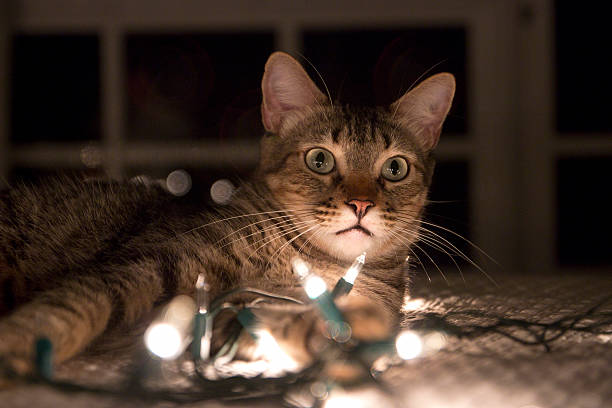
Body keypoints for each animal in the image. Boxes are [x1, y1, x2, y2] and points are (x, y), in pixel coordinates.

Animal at [0, 52, 454, 380]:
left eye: (395, 168)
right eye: (320, 160)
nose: (361, 204)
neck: (312, 265)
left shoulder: (221, 320)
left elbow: (280, 322)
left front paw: (348, 332)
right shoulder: (144, 264)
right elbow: (68, 308)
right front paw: (16, 346)